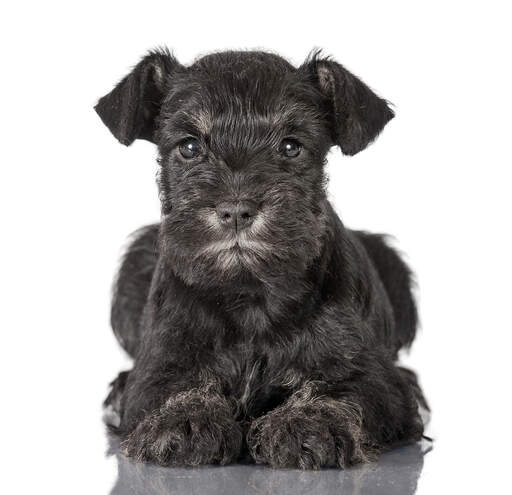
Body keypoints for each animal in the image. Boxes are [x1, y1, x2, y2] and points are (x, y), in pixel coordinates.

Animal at [96, 48, 428, 470]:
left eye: (290, 146)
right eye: (189, 147)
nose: (237, 210)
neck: (249, 293)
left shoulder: (374, 379)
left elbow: (344, 392)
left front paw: (309, 424)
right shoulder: (160, 366)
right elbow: (170, 389)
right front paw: (185, 421)